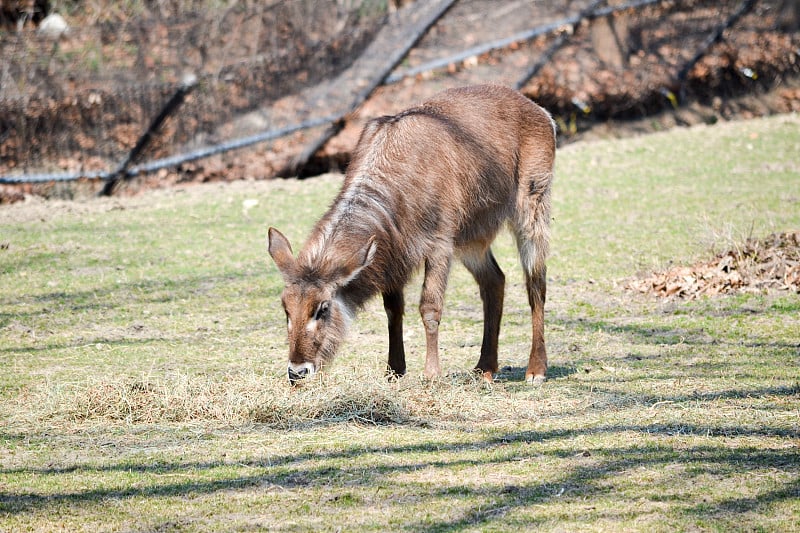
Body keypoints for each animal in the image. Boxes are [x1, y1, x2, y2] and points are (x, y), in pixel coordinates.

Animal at [268, 82, 556, 382]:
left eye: (322, 308)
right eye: (286, 307)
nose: (297, 371)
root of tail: (541, 112)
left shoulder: (440, 243)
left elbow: (429, 307)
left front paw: (431, 374)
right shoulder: (393, 251)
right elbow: (393, 309)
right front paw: (394, 370)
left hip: (531, 208)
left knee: (536, 283)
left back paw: (535, 369)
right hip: (472, 237)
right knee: (494, 280)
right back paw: (484, 368)